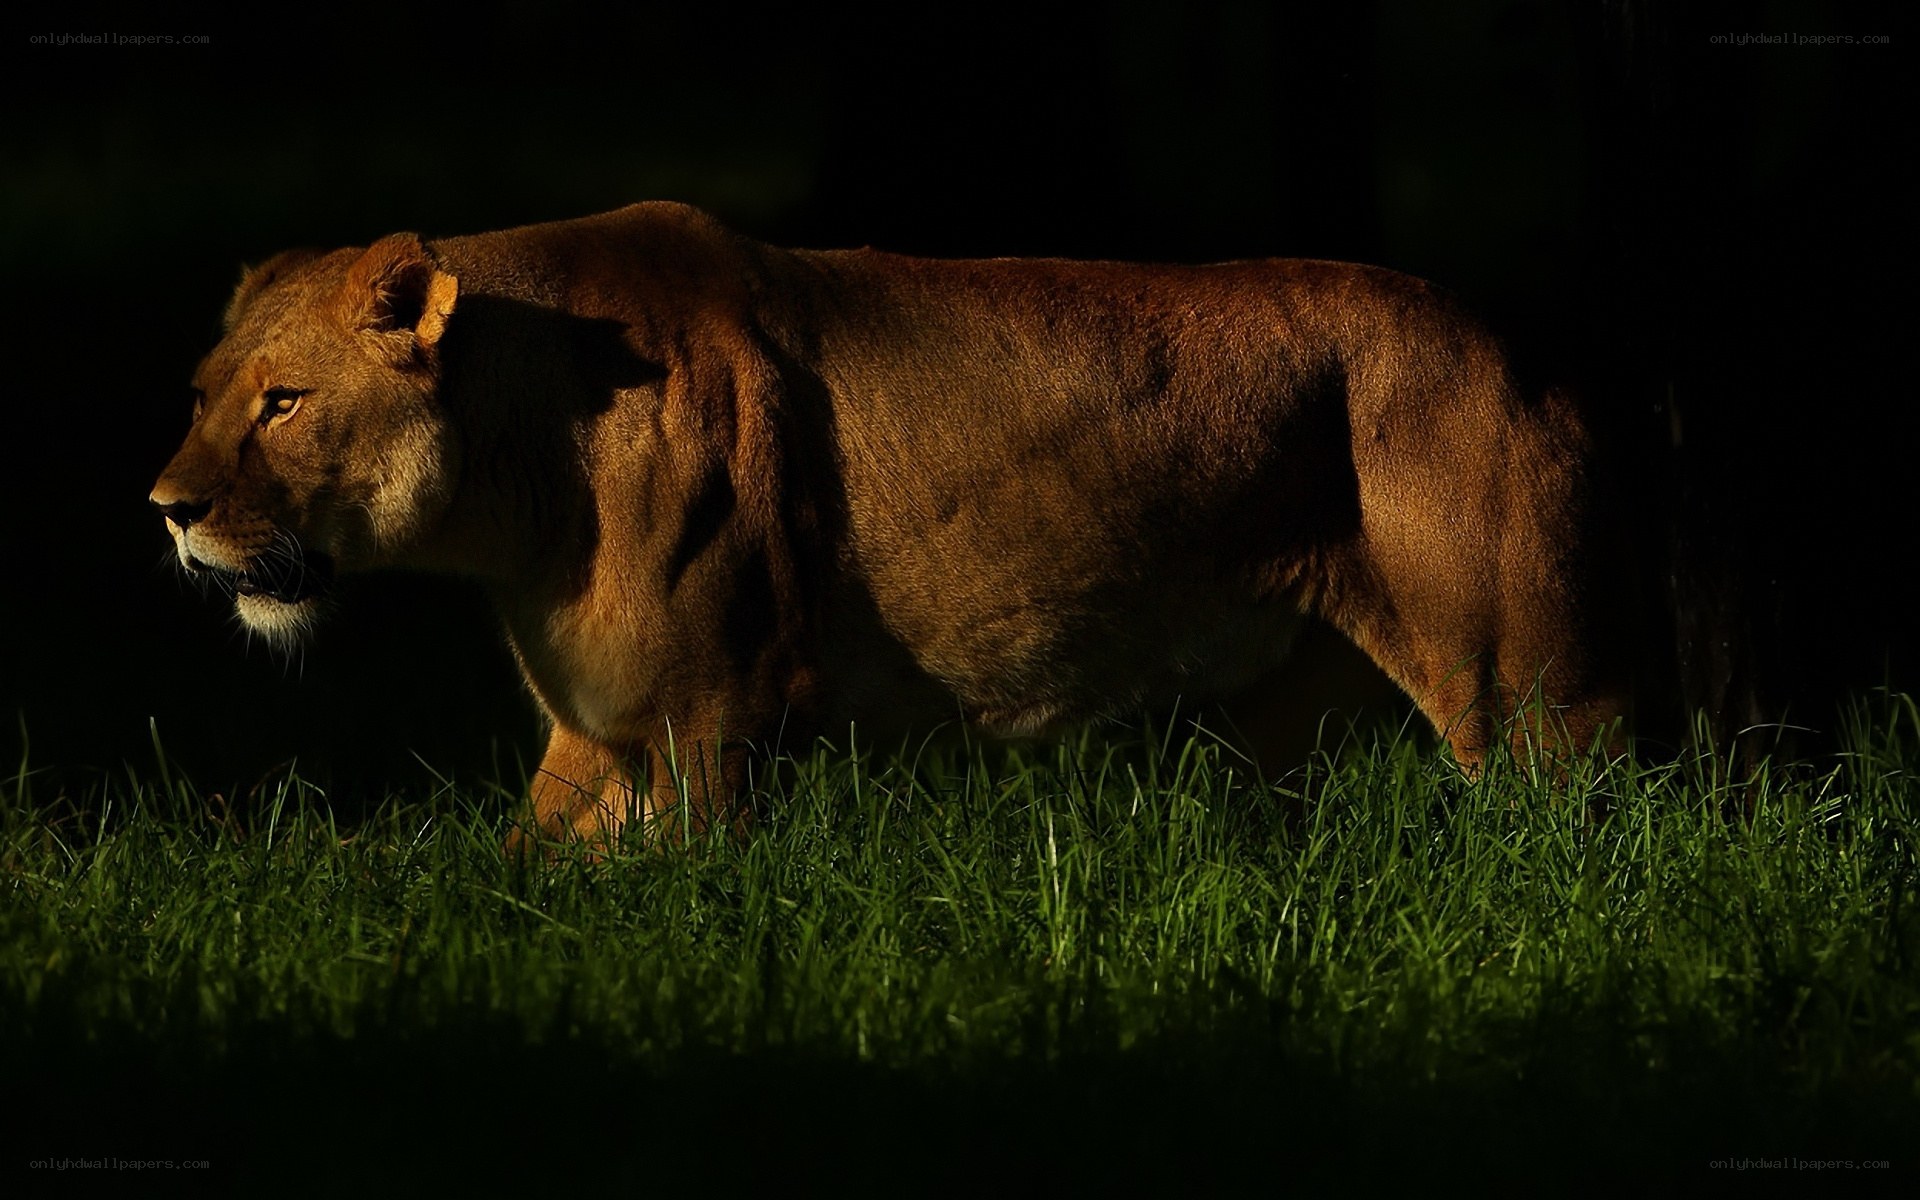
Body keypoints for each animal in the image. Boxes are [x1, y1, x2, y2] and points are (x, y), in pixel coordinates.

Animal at [151, 202, 1627, 842]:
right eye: (203, 396)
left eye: (283, 404)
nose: (167, 512)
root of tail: (1526, 350)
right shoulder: (599, 726)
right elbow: (513, 880)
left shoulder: (714, 715)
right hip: (1287, 727)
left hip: (1532, 692)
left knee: (1600, 833)